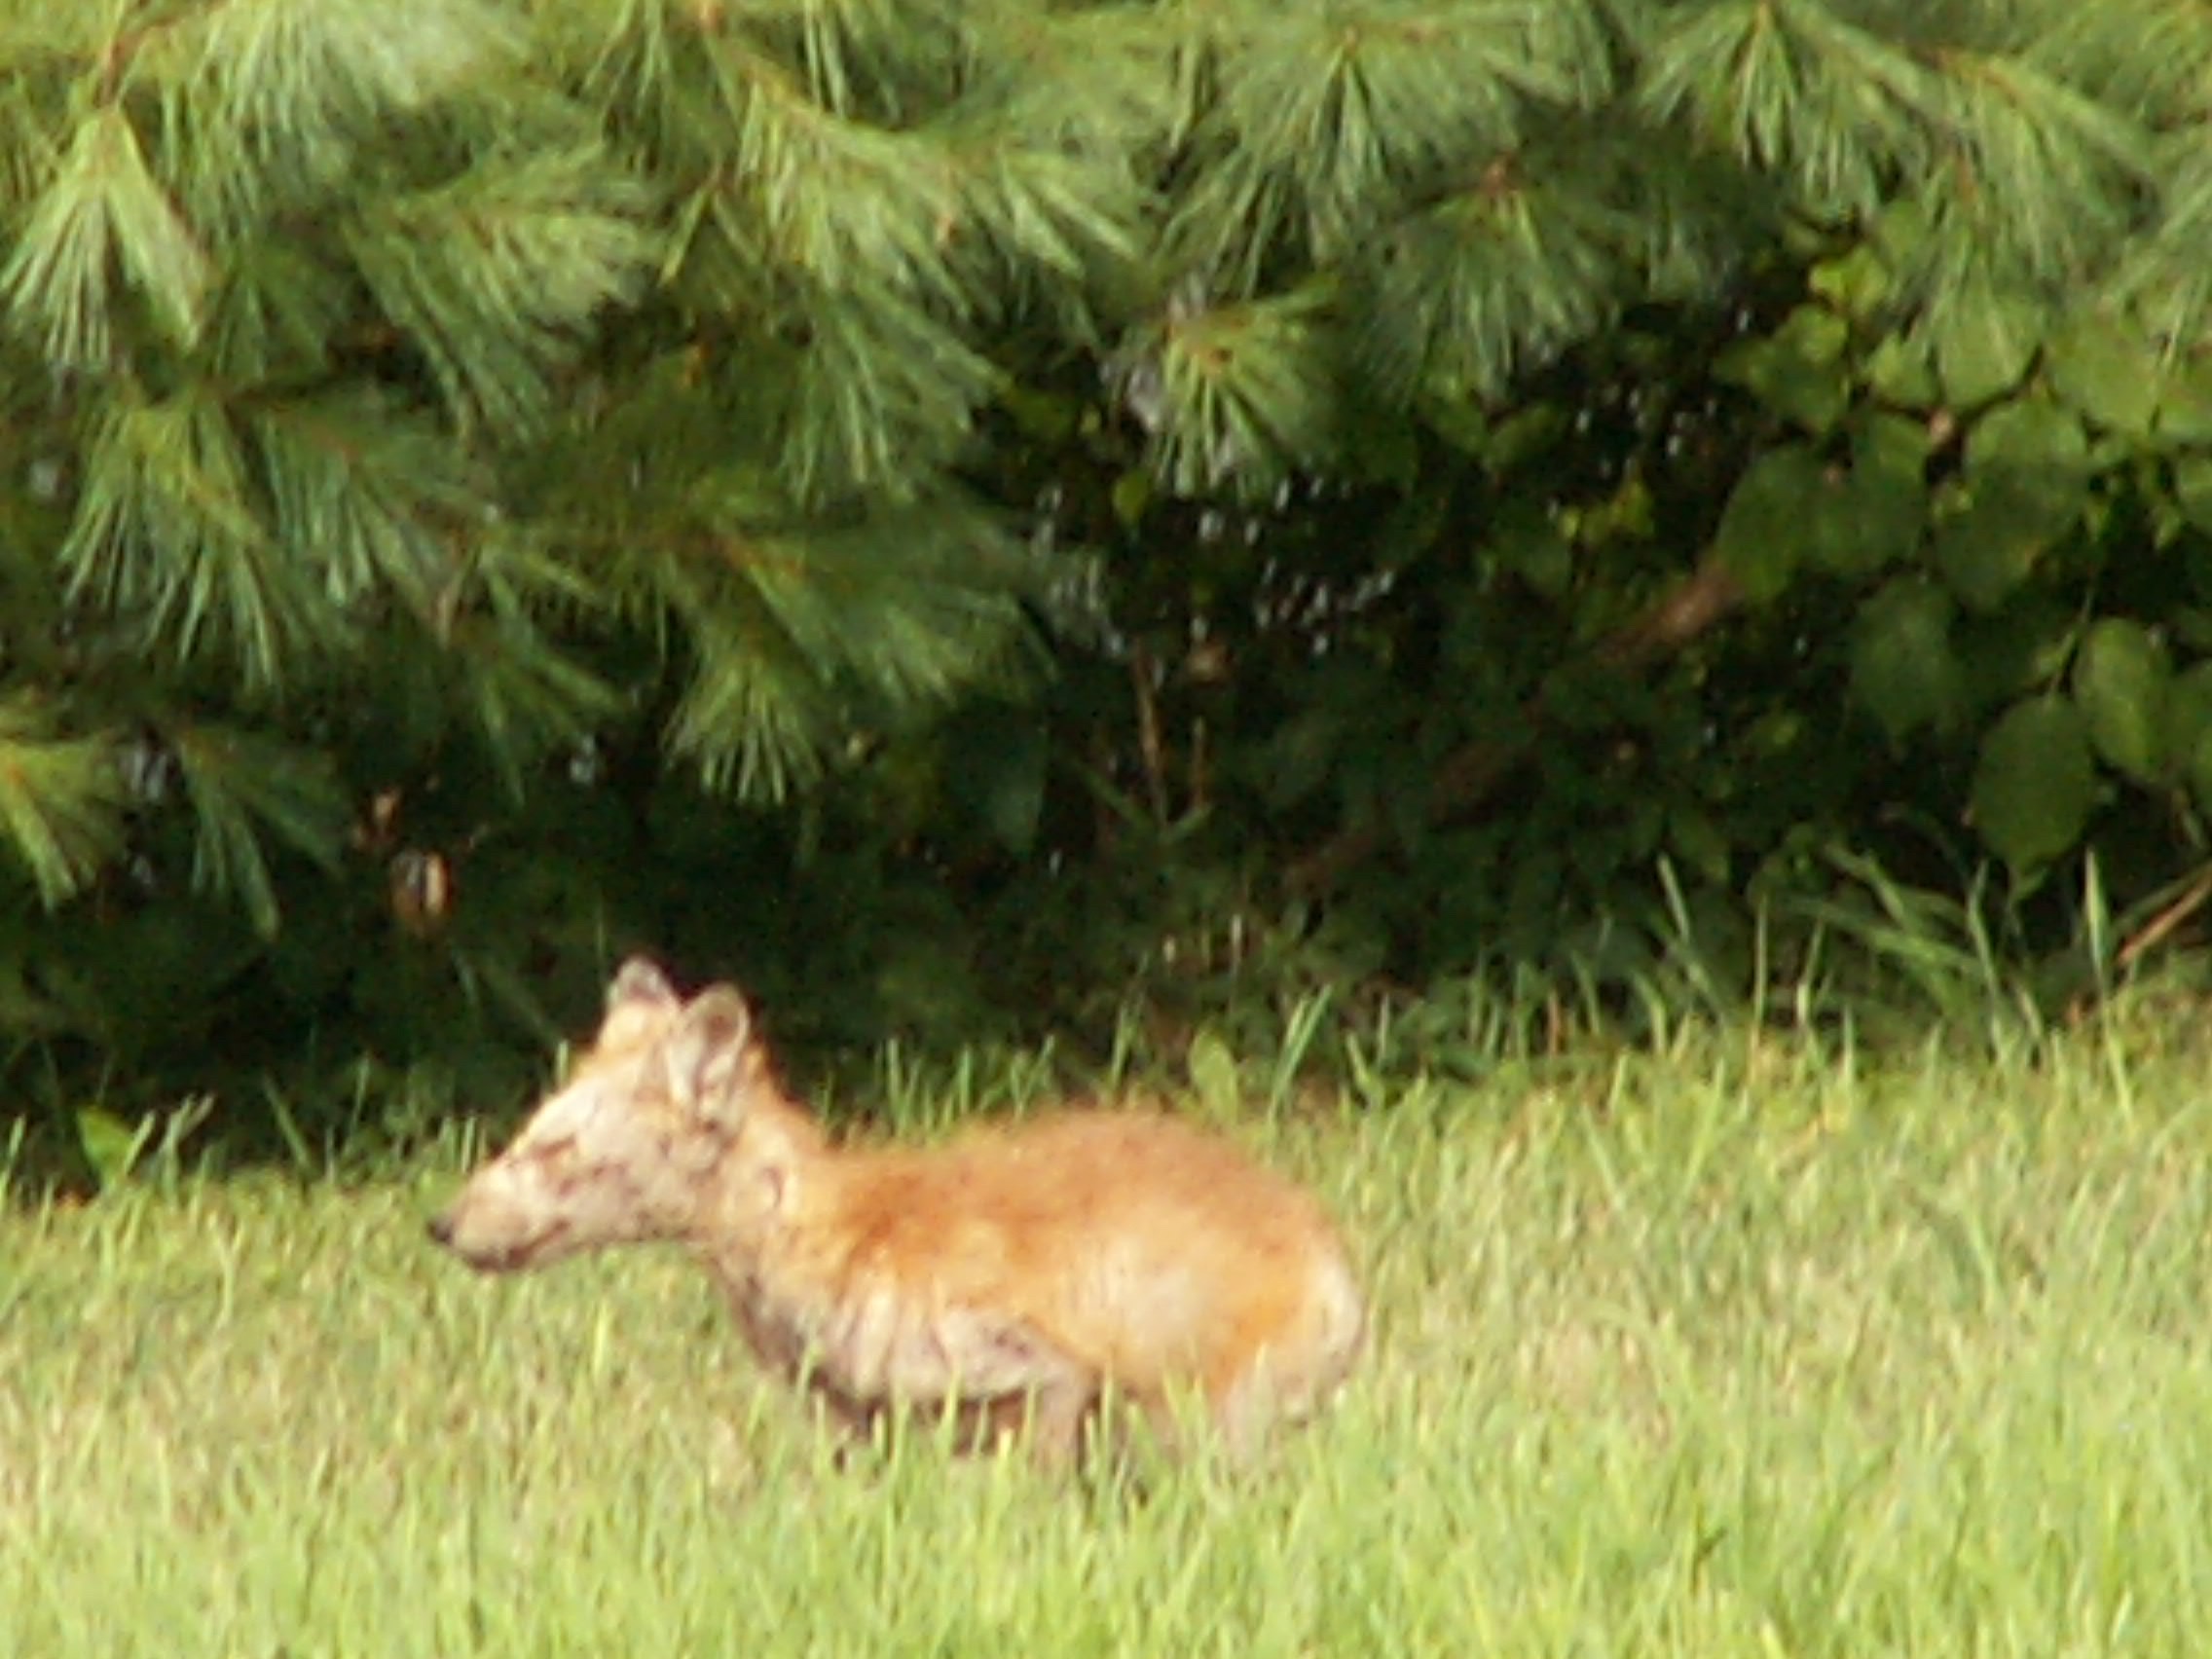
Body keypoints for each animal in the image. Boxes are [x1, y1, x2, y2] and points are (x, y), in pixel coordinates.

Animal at [429, 957, 1366, 1470]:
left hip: (1202, 1433)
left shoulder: (1038, 1379)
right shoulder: (859, 1428)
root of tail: (1338, 1269)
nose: (441, 1224)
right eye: (526, 1134)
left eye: (555, 1149)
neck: (819, 1244)